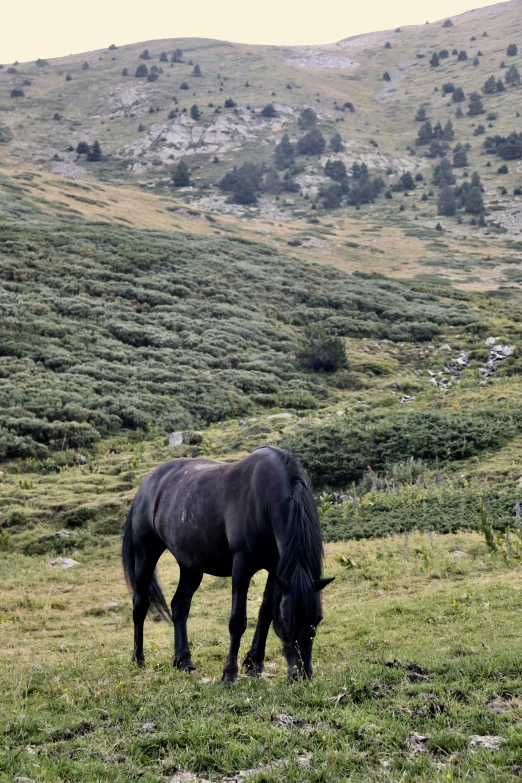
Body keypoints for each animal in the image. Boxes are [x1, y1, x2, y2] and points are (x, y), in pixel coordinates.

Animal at [122, 448, 334, 680]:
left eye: (318, 618)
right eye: (287, 619)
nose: (302, 674)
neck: (263, 498)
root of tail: (146, 485)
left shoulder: (276, 569)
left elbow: (266, 612)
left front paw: (255, 663)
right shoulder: (242, 566)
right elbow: (237, 621)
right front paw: (230, 673)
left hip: (190, 566)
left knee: (179, 605)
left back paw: (183, 661)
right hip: (146, 555)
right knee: (140, 605)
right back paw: (138, 659)